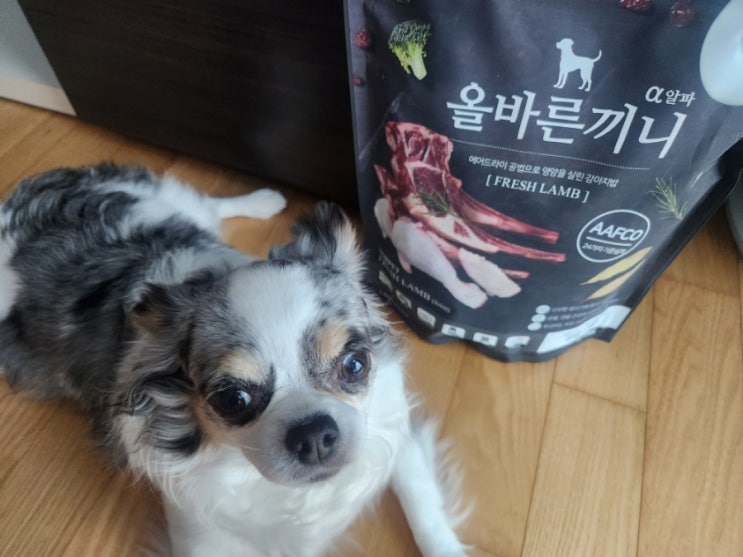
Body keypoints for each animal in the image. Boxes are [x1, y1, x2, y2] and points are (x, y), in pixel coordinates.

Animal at [0, 164, 466, 557]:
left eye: (355, 365)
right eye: (232, 400)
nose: (314, 433)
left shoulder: (388, 429)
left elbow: (423, 504)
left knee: (208, 203)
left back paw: (265, 199)